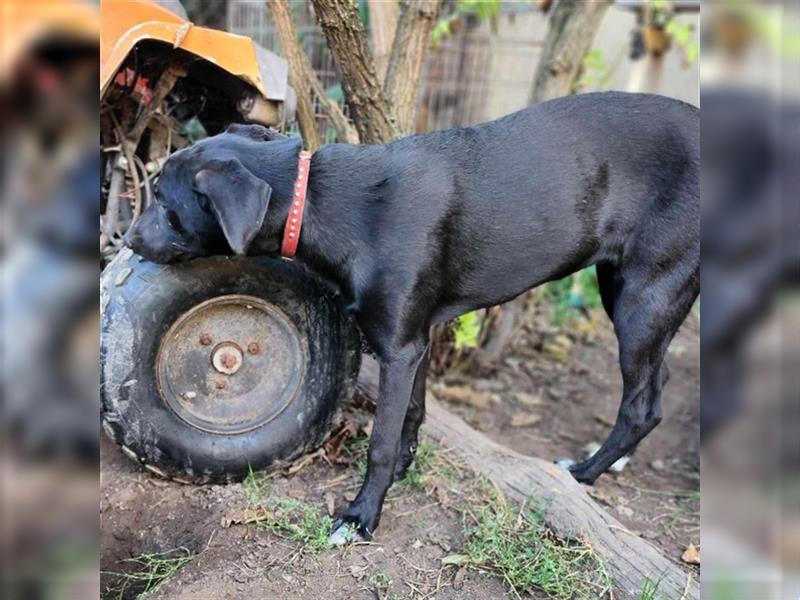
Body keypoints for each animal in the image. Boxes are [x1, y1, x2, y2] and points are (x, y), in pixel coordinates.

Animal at [126, 91, 700, 540]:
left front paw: (361, 515)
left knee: (642, 407)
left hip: (645, 296)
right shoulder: (415, 336)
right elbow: (413, 413)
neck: (322, 201)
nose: (128, 239)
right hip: (622, 288)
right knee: (658, 381)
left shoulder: (398, 348)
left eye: (165, 205)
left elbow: (379, 441)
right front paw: (405, 467)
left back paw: (584, 473)